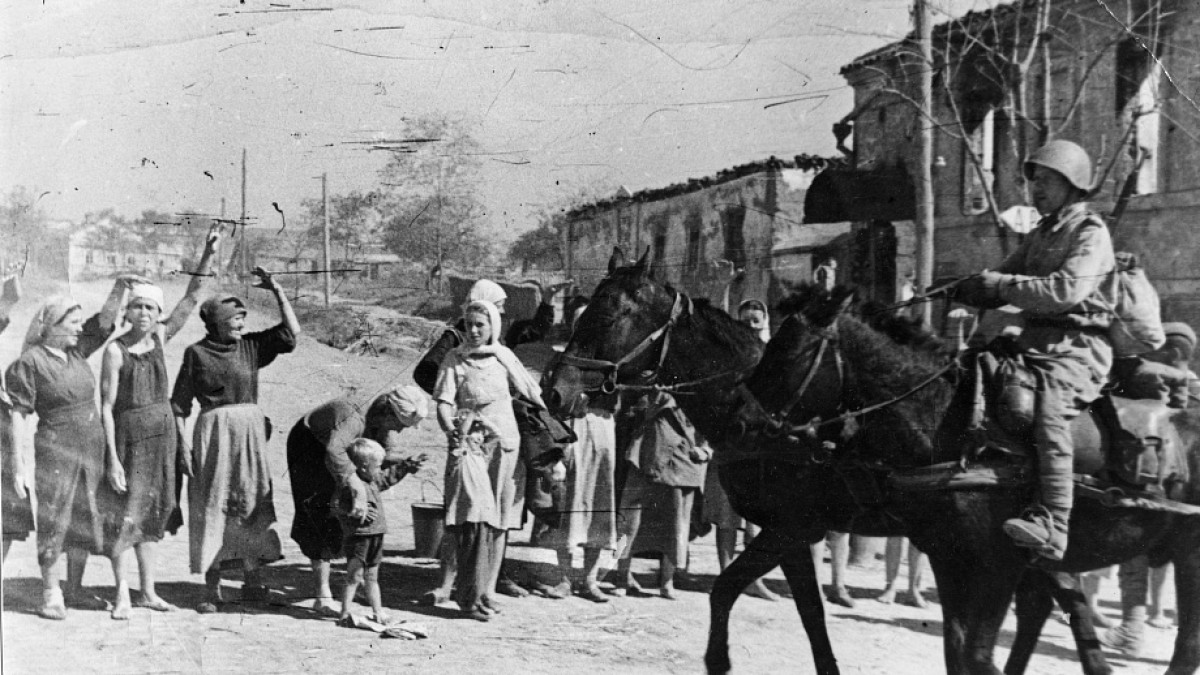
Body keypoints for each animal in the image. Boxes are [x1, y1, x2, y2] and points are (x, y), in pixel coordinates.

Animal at [544, 250, 1115, 674]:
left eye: (611, 314)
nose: (557, 388)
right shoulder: (793, 532)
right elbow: (800, 612)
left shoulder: (794, 527)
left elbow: (753, 596)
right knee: (1049, 603)